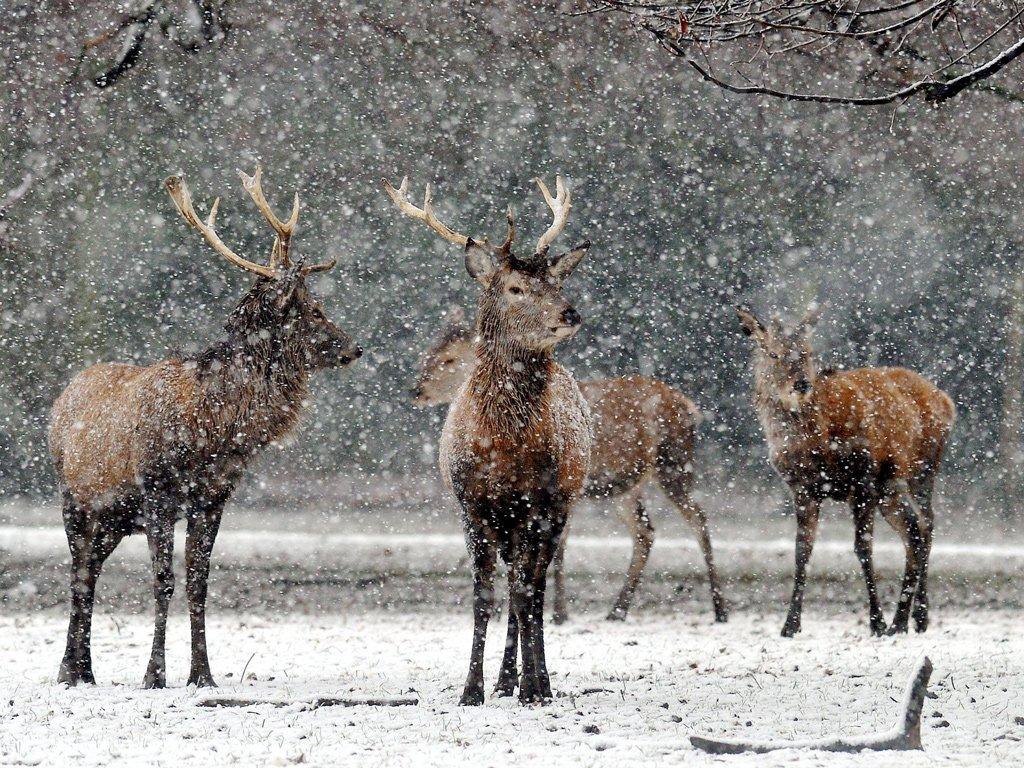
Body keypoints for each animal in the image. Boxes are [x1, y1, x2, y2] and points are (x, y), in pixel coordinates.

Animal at [50, 167, 361, 688]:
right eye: (312, 310)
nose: (354, 347)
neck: (213, 433)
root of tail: (60, 400)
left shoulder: (213, 497)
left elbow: (199, 583)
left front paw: (202, 675)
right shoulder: (158, 494)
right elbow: (163, 581)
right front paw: (154, 675)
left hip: (115, 517)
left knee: (91, 569)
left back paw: (81, 670)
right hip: (75, 499)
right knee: (79, 573)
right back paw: (72, 672)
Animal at [385, 175, 592, 705]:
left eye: (557, 282)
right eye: (516, 288)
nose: (570, 313)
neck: (502, 448)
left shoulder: (538, 502)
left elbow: (525, 594)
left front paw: (535, 687)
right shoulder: (471, 504)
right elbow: (483, 596)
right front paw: (472, 689)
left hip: (558, 510)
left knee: (533, 588)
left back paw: (532, 681)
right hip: (508, 522)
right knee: (518, 587)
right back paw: (504, 681)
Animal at [412, 307, 727, 624]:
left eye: (448, 358)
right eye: (428, 351)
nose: (416, 391)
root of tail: (691, 409)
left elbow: (557, 548)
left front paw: (558, 612)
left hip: (673, 464)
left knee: (698, 519)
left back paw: (720, 609)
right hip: (628, 486)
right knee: (645, 531)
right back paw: (617, 610)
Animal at [736, 307, 955, 637]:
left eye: (807, 351)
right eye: (773, 353)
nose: (802, 384)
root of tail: (947, 400)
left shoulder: (862, 479)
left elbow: (863, 548)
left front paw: (876, 622)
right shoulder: (803, 489)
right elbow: (802, 551)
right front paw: (790, 625)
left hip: (923, 469)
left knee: (926, 526)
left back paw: (906, 619)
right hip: (891, 489)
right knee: (915, 531)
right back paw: (911, 619)